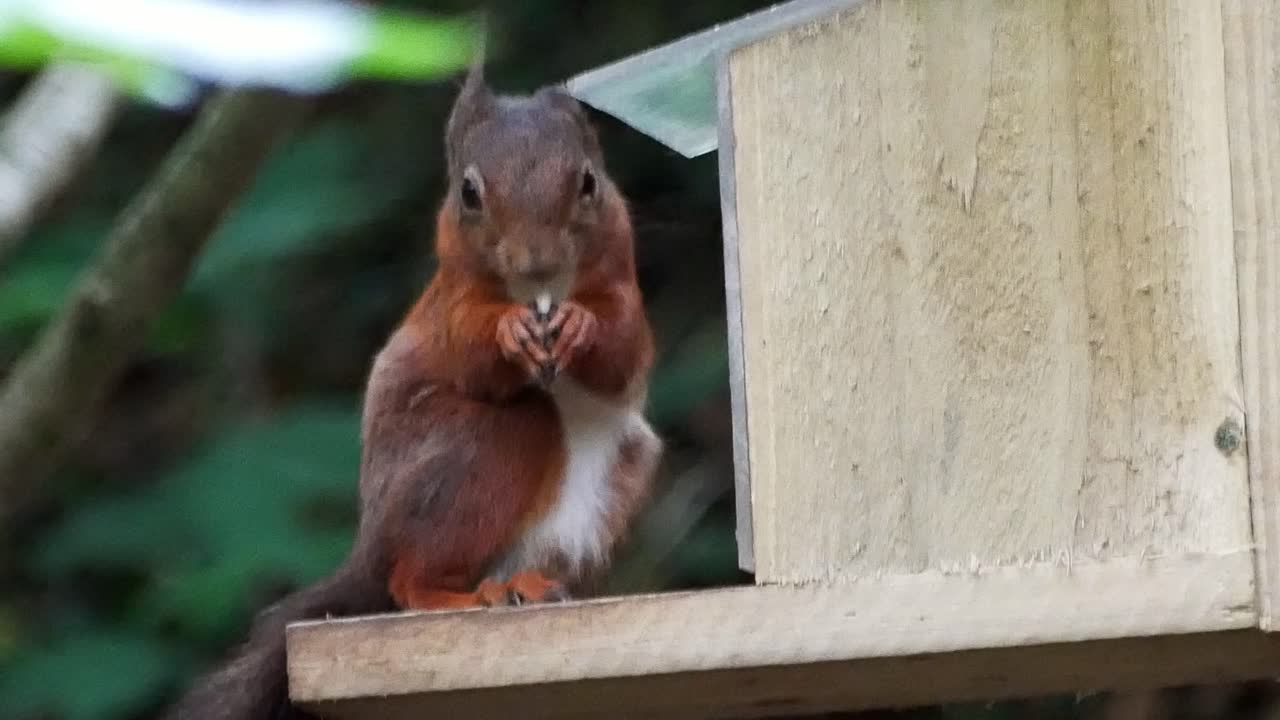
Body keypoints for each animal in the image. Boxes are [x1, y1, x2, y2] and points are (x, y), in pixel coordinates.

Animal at [161, 61, 663, 720]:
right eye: (468, 193)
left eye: (588, 183)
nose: (536, 260)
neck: (542, 294)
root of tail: (370, 546)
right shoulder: (450, 303)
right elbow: (469, 349)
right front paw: (507, 331)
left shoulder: (623, 283)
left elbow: (626, 351)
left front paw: (582, 326)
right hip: (471, 449)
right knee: (408, 580)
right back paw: (464, 597)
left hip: (614, 479)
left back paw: (527, 586)